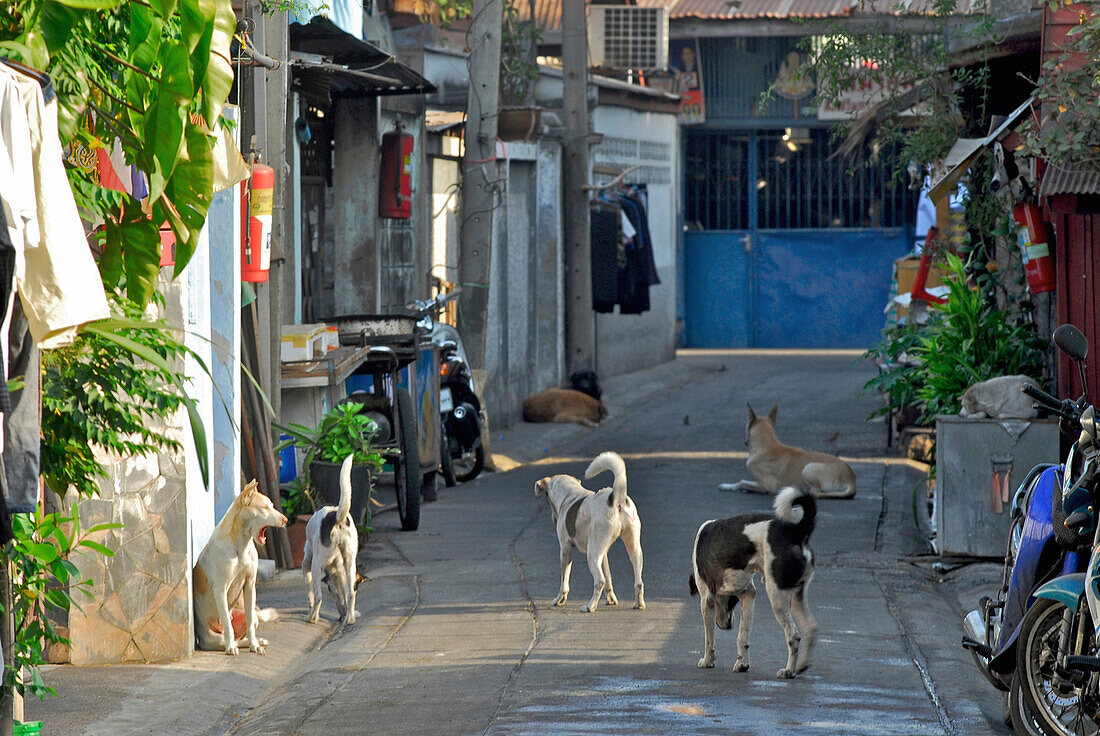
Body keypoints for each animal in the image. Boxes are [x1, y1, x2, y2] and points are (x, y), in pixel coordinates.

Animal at [193, 477, 288, 655]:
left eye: (272, 505)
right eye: (265, 508)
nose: (286, 520)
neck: (240, 545)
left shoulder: (250, 585)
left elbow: (250, 624)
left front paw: (255, 645)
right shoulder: (220, 590)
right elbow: (228, 626)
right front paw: (231, 647)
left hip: (250, 614)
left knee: (247, 628)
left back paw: (257, 641)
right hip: (213, 639)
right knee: (227, 636)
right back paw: (232, 644)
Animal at [532, 451, 642, 611]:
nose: (554, 518)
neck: (569, 496)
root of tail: (616, 499)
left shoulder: (565, 549)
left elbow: (564, 583)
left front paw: (559, 600)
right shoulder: (604, 554)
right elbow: (609, 578)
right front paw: (611, 599)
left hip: (592, 555)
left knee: (599, 580)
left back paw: (590, 606)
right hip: (633, 548)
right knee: (638, 581)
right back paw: (639, 604)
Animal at [686, 488, 818, 677]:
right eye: (733, 602)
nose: (727, 626)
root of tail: (797, 531)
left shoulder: (707, 599)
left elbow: (709, 639)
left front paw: (707, 661)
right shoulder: (748, 595)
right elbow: (743, 637)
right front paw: (742, 665)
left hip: (777, 596)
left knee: (793, 636)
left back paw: (788, 671)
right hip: (795, 596)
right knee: (810, 628)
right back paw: (800, 666)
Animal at [721, 402, 858, 499]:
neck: (767, 446)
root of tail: (850, 480)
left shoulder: (766, 486)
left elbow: (742, 482)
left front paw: (726, 486)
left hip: (808, 468)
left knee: (817, 493)